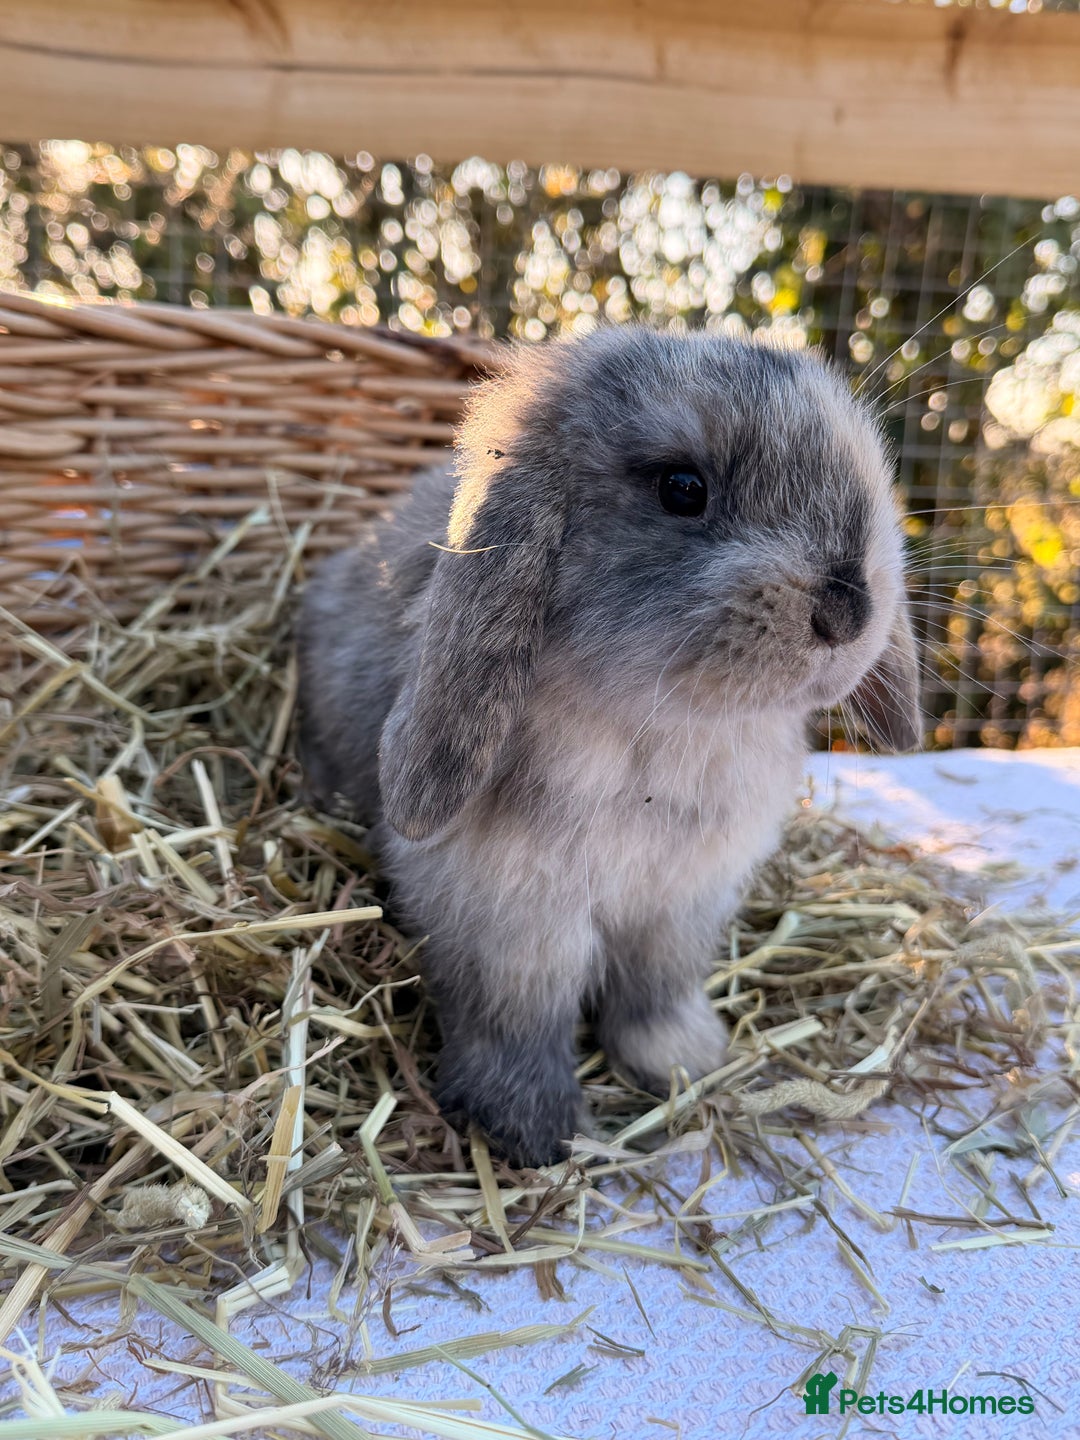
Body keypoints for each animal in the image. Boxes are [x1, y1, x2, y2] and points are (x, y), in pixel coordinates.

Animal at [297, 326, 920, 1169]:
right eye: (682, 488)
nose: (849, 611)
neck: (667, 730)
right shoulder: (513, 921)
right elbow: (517, 1021)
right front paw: (534, 1134)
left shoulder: (682, 907)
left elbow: (656, 995)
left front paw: (686, 1063)